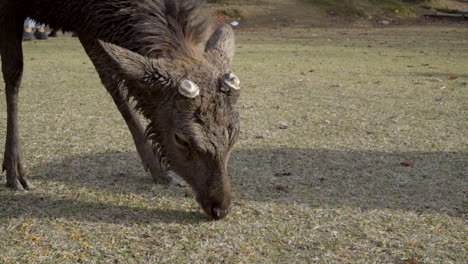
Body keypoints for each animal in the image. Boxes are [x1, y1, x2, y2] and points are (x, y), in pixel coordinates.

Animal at [0, 0, 241, 221]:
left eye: (235, 135)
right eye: (181, 139)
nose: (220, 208)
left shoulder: (86, 23)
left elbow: (110, 78)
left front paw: (159, 170)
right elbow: (13, 71)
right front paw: (14, 171)